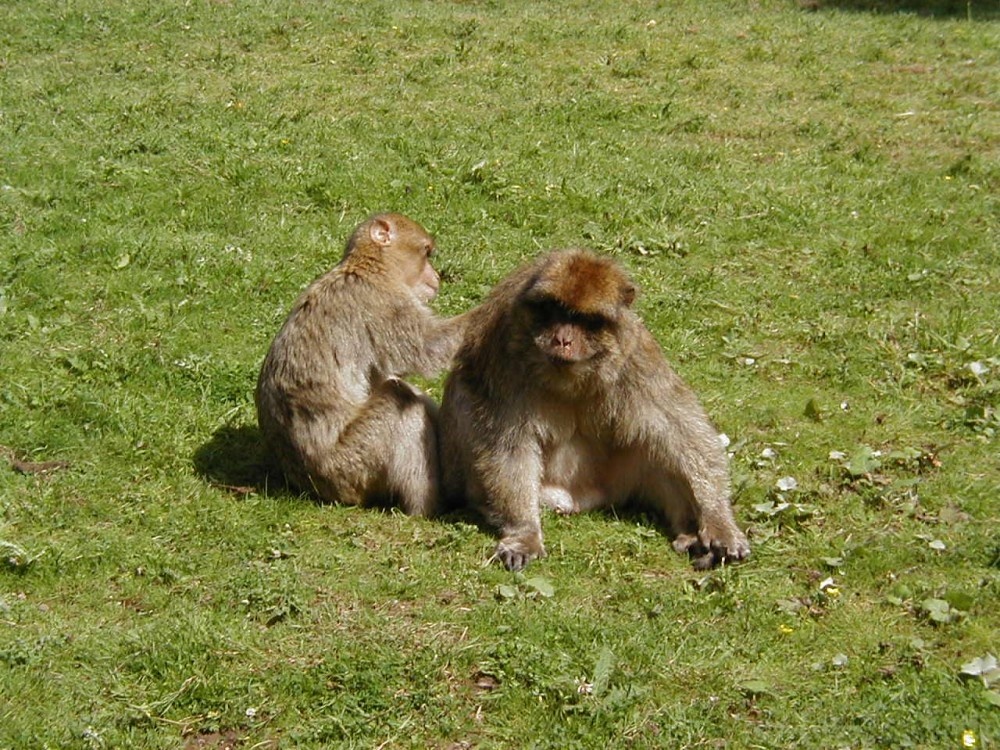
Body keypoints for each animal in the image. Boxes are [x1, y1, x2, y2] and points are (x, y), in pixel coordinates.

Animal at [255, 212, 467, 515]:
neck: (370, 266)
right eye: (426, 252)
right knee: (399, 400)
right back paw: (428, 507)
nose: (435, 277)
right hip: (350, 466)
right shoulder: (383, 302)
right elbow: (428, 348)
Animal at [439, 249, 750, 570]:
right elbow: (508, 444)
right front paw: (524, 532)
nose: (562, 339)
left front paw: (719, 520)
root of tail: (579, 498)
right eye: (555, 310)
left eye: (583, 319)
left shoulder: (636, 356)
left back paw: (689, 531)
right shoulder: (503, 355)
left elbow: (683, 430)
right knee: (464, 394)